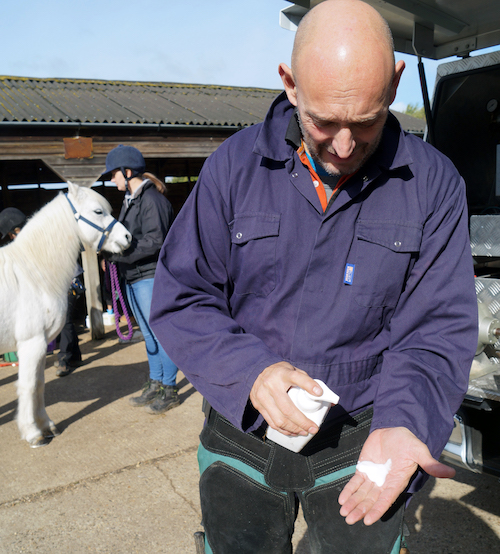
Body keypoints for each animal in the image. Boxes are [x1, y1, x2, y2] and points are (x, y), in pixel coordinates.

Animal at [0, 183, 131, 446]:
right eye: (98, 211)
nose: (127, 237)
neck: (31, 274)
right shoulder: (31, 343)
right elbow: (28, 386)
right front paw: (32, 433)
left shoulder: (40, 344)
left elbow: (39, 384)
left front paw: (46, 425)